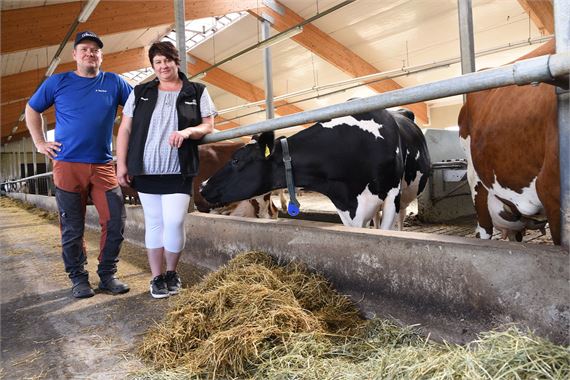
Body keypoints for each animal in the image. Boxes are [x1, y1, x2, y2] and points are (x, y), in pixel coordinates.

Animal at [202, 108, 428, 230]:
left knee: (400, 217)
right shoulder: (346, 207)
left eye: (236, 160)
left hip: (404, 196)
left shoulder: (391, 196)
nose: (202, 185)